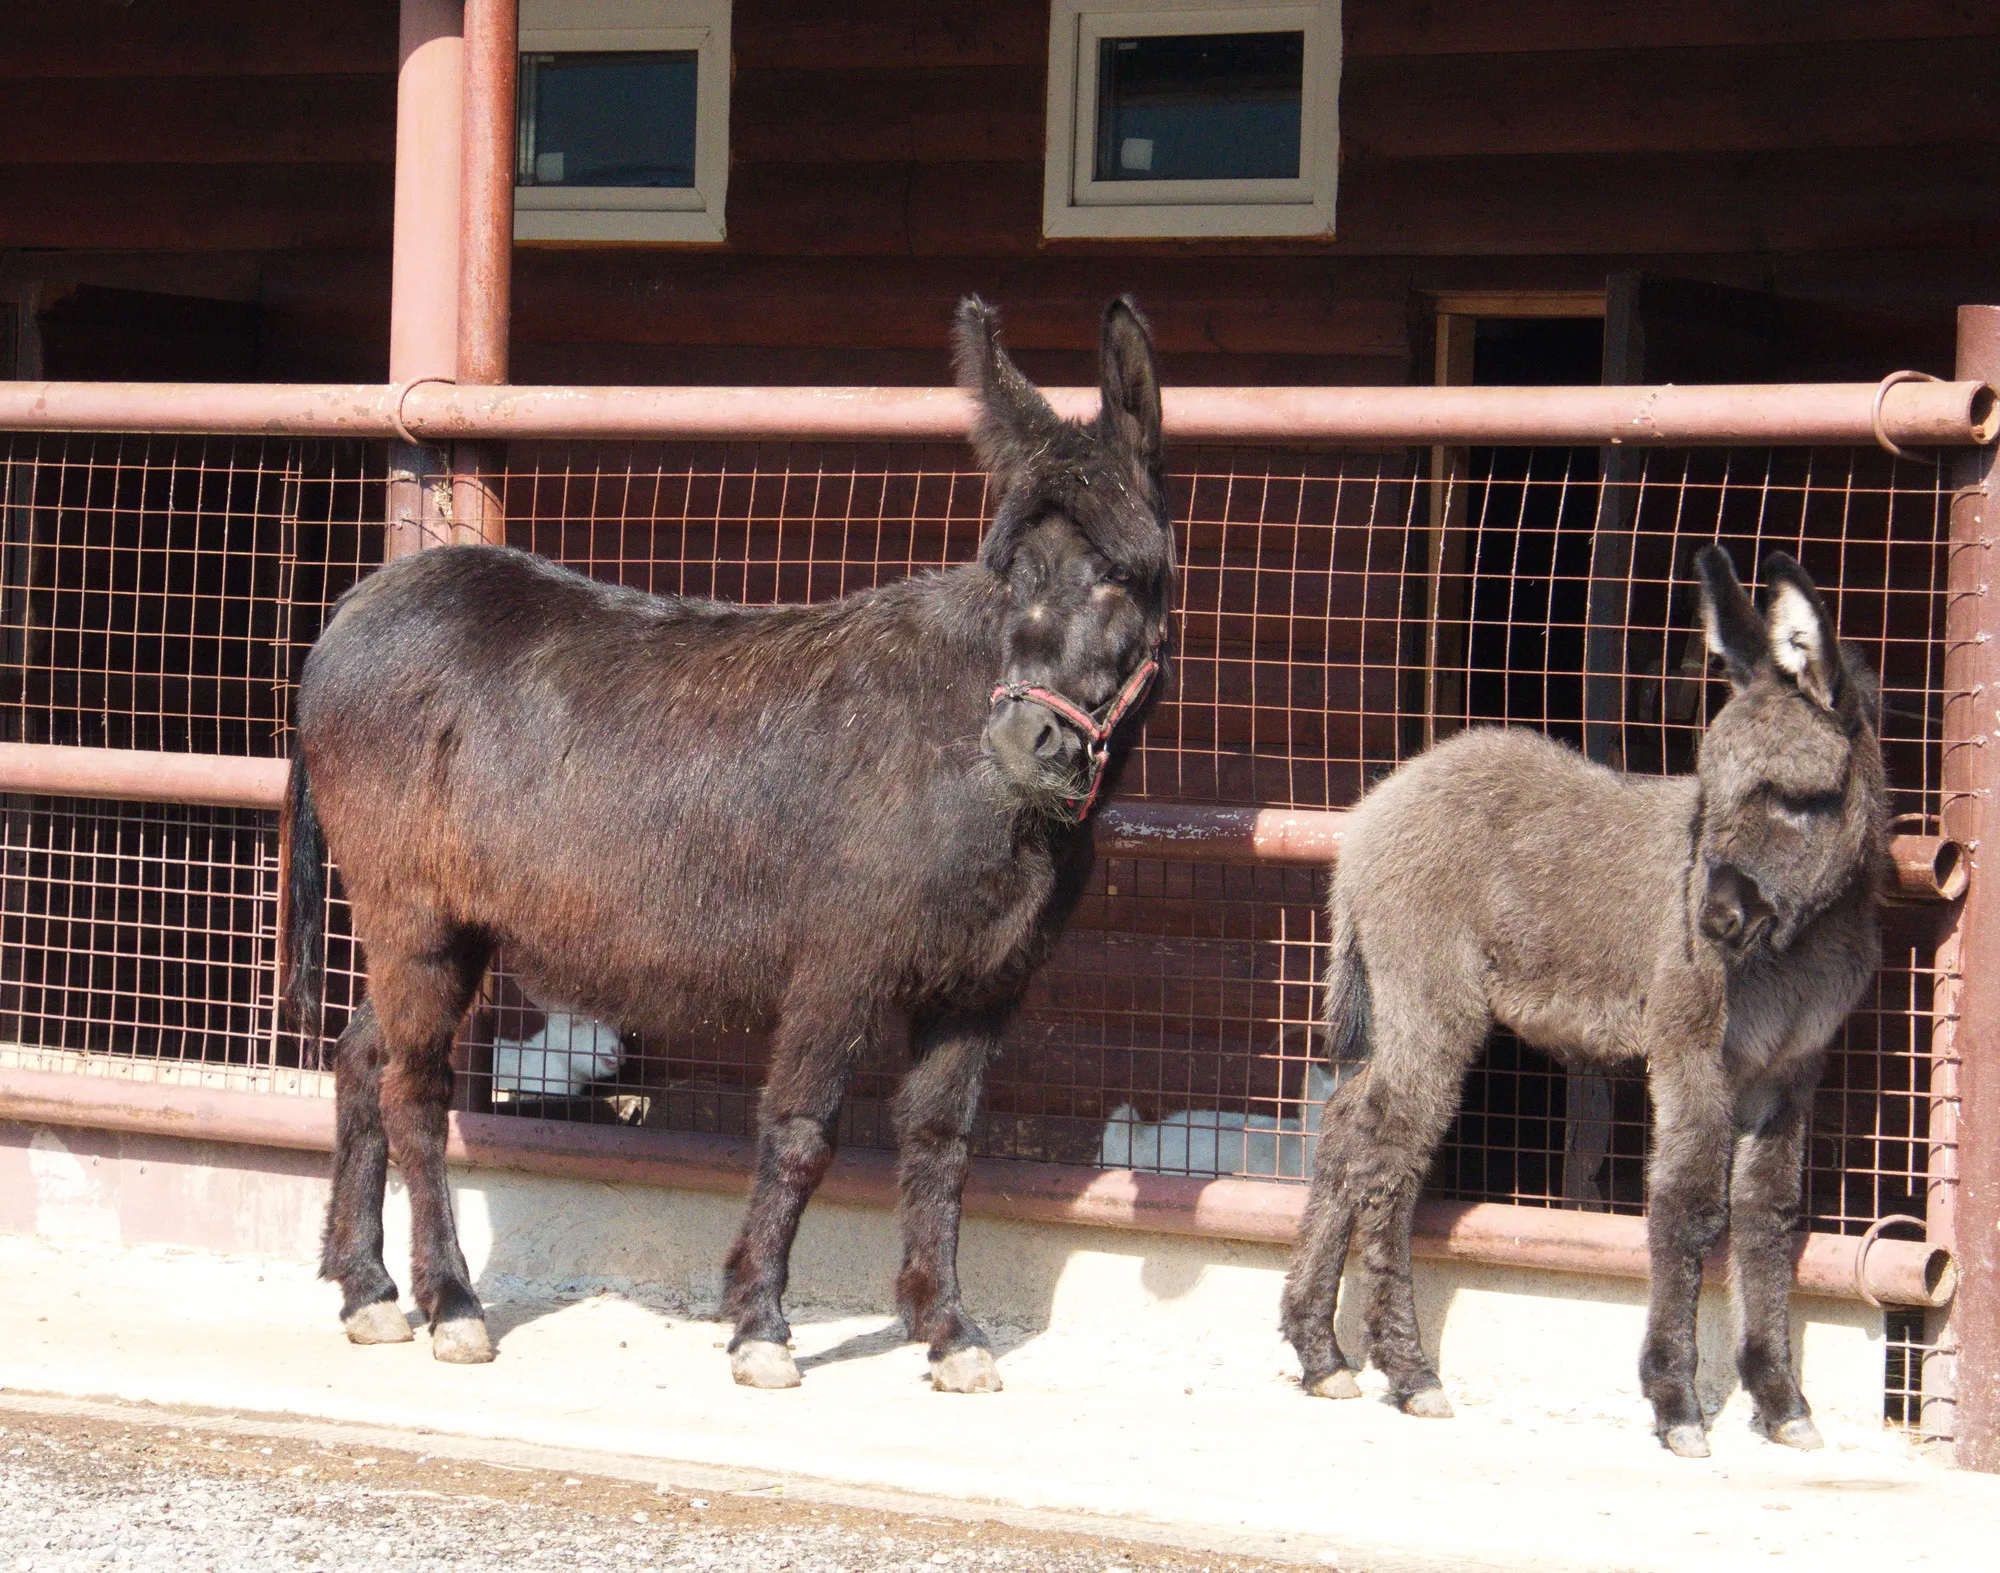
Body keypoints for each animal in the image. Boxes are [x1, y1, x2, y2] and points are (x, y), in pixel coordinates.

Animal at [1288, 544, 1880, 1448]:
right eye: (1709, 790)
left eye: (1794, 796)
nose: (1711, 919)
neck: (1797, 949)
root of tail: (1369, 814)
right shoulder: (1690, 1046)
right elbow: (1688, 1205)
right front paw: (1676, 1404)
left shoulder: (1791, 1070)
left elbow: (1768, 1214)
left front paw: (1782, 1402)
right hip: (1432, 993)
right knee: (1389, 1151)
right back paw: (1411, 1372)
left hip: (1402, 1003)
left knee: (1348, 1126)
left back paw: (1320, 1352)